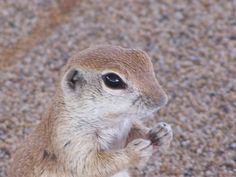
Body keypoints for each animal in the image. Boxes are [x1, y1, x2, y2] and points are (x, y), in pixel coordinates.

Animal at [8, 45, 172, 176]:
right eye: (113, 79)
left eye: (144, 57)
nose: (163, 100)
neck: (115, 120)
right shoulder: (71, 139)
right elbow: (90, 165)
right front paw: (135, 152)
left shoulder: (126, 125)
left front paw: (161, 133)